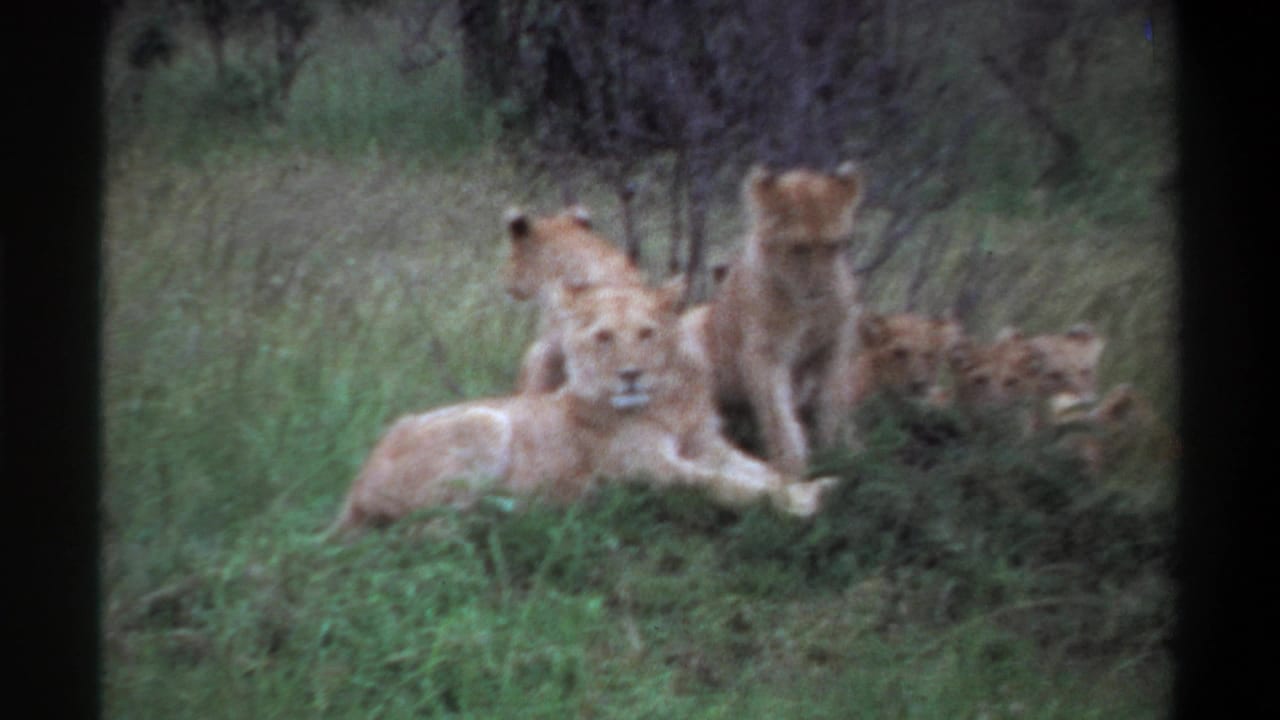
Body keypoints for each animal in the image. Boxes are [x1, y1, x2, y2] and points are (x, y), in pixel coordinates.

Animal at [330, 281, 837, 537]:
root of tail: (353, 490)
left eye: (647, 333)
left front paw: (811, 487)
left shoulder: (708, 445)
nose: (630, 374)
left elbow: (763, 471)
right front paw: (801, 503)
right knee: (428, 527)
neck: (669, 403)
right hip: (483, 420)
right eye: (604, 337)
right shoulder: (650, 470)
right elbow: (725, 485)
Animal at [704, 162, 865, 474]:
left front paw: (841, 452)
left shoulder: (837, 343)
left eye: (834, 245)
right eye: (799, 248)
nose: (821, 291)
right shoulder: (765, 353)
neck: (805, 306)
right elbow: (780, 417)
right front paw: (792, 469)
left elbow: (833, 400)